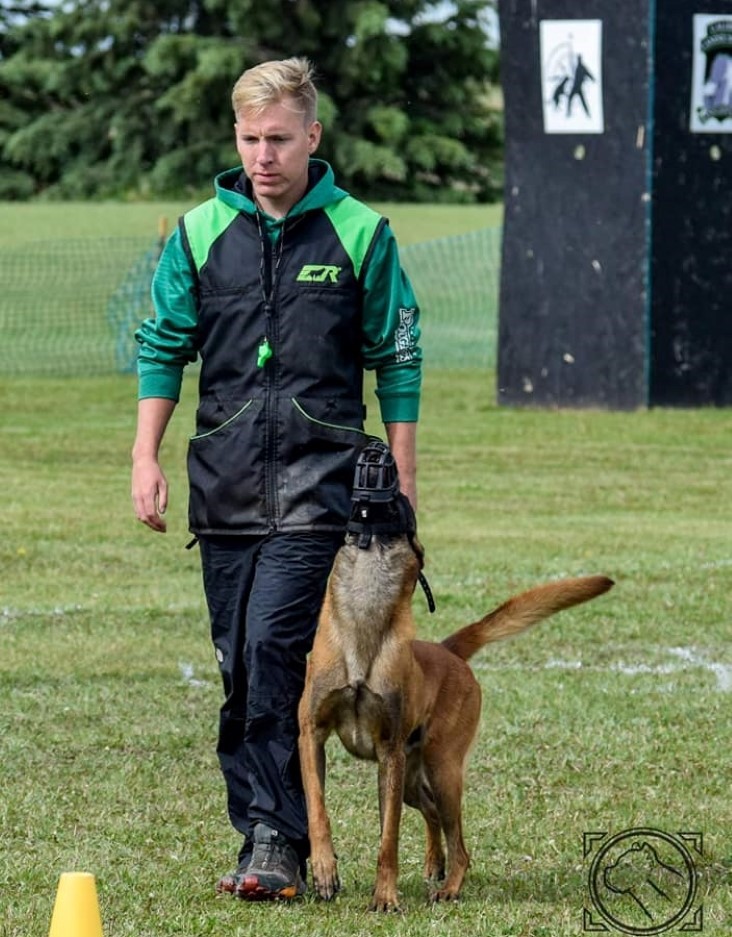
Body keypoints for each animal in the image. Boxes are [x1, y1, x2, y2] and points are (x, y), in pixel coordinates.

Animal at [298, 442, 612, 912]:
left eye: (402, 505)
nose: (377, 446)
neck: (364, 621)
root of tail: (448, 650)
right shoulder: (312, 735)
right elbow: (318, 809)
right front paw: (323, 869)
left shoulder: (389, 754)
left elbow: (388, 841)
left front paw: (385, 896)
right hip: (414, 777)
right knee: (431, 815)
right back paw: (435, 864)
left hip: (441, 769)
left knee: (460, 841)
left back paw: (449, 886)